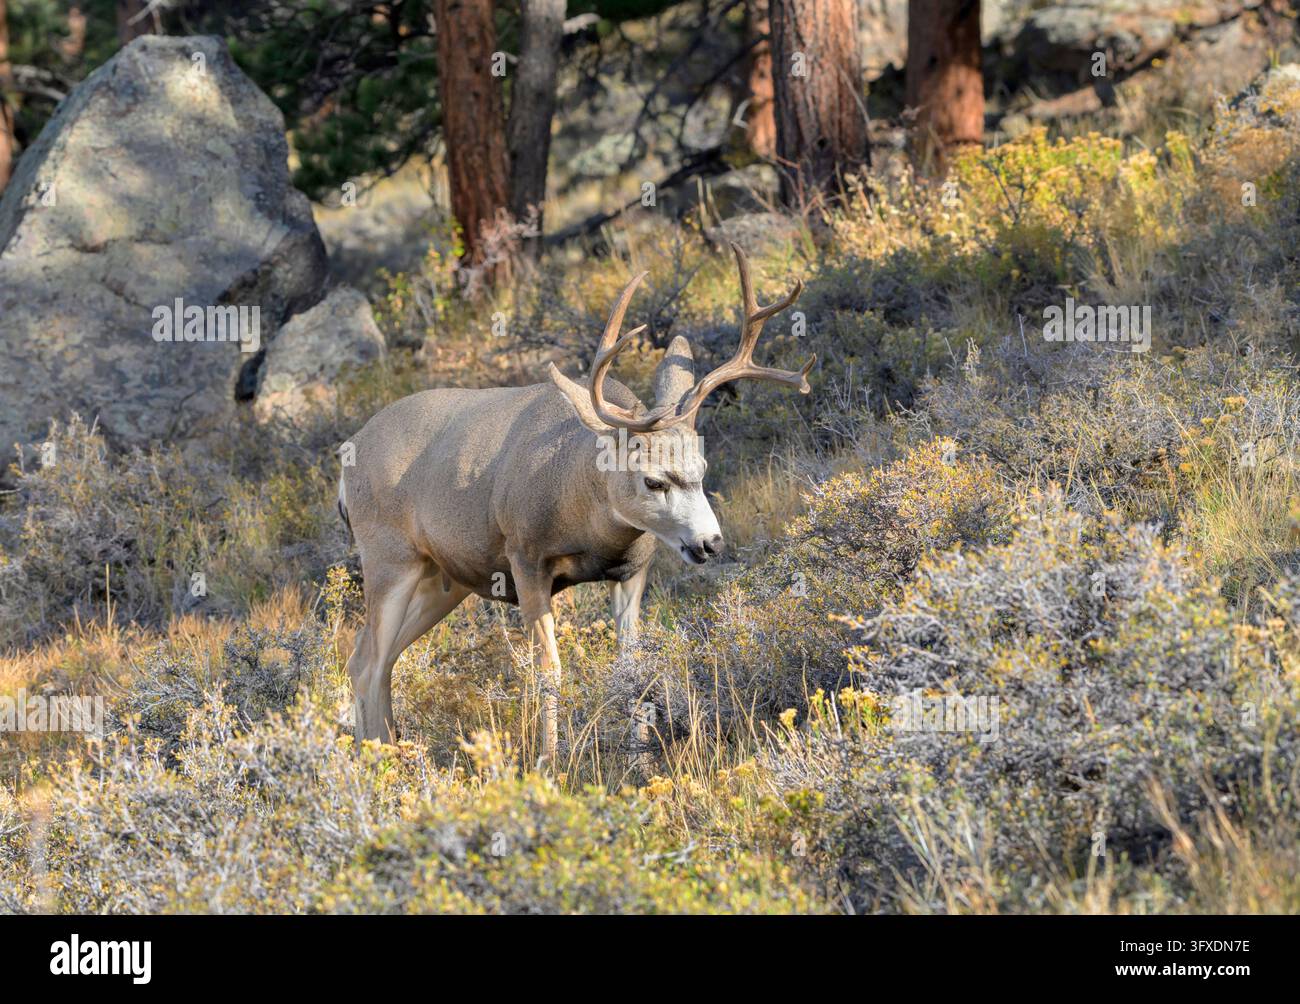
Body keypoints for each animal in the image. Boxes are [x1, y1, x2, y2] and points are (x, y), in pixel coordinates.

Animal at [338, 244, 814, 763]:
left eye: (703, 469)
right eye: (652, 481)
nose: (710, 542)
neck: (582, 507)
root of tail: (347, 459)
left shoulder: (632, 571)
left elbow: (631, 664)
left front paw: (638, 757)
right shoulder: (525, 559)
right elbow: (549, 669)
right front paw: (549, 762)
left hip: (443, 577)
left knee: (375, 659)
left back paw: (381, 754)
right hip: (388, 555)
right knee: (367, 659)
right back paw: (374, 761)